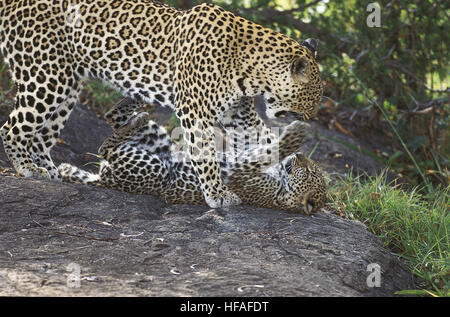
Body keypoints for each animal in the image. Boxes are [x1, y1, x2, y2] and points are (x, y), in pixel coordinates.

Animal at [59, 97, 326, 214]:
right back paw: (136, 105)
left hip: (154, 170)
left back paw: (137, 117)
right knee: (113, 118)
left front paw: (294, 136)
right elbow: (256, 135)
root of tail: (105, 180)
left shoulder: (240, 173)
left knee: (106, 149)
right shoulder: (242, 148)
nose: (300, 155)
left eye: (308, 172)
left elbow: (264, 154)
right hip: (159, 140)